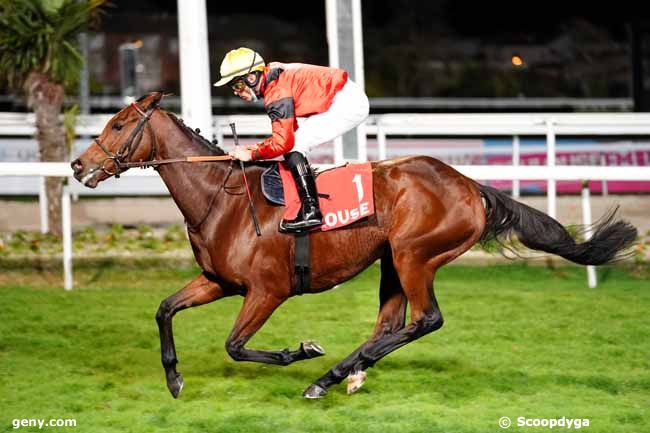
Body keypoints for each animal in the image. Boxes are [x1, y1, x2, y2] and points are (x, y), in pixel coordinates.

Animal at [69, 91, 632, 398]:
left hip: (415, 255)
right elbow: (165, 309)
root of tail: (472, 186)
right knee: (391, 324)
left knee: (426, 320)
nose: (77, 165)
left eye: (119, 124)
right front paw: (173, 379)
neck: (220, 198)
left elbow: (235, 346)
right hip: (392, 260)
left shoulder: (267, 291)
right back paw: (347, 374)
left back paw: (330, 375)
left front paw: (301, 351)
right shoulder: (218, 281)